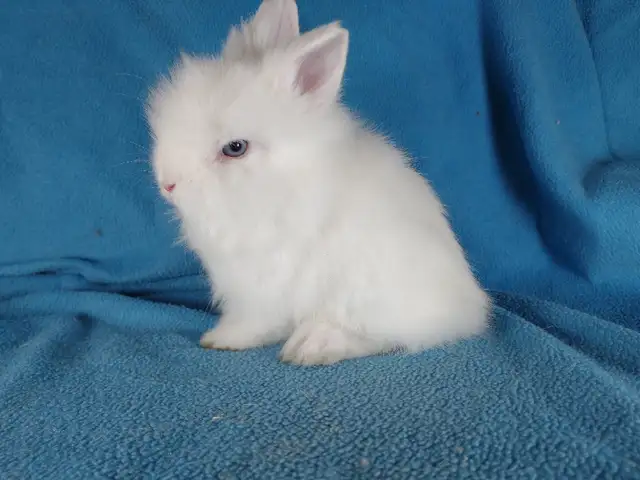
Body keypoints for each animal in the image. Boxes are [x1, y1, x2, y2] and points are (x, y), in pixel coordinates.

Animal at [146, 0, 490, 365]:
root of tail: (467, 306)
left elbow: (253, 320)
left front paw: (223, 339)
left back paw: (313, 345)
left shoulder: (263, 282)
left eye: (235, 148)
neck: (278, 188)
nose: (167, 184)